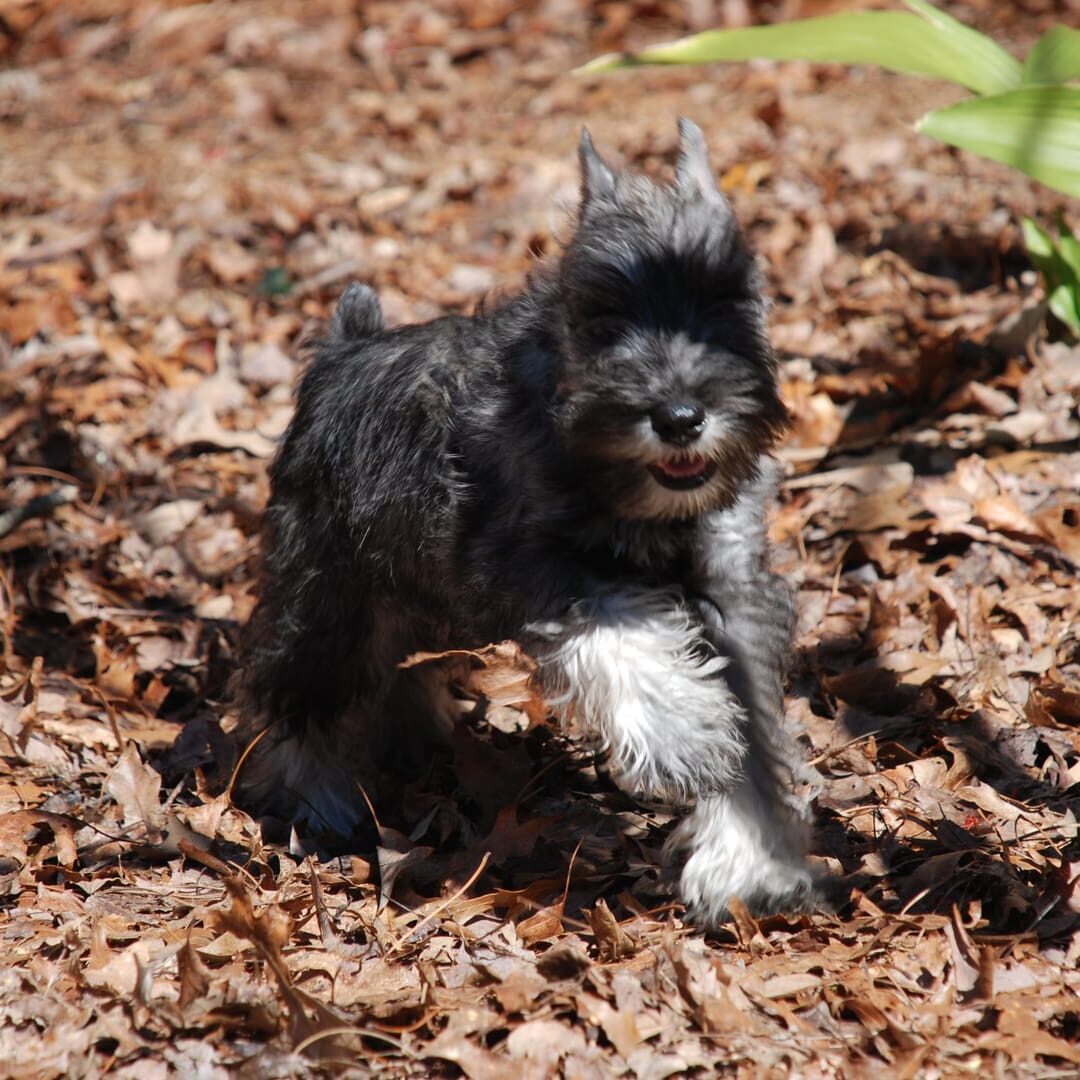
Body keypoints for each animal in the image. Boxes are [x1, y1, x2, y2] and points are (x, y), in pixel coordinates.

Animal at [234, 122, 816, 924]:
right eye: (604, 316)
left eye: (724, 302)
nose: (680, 418)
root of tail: (344, 346)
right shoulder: (542, 568)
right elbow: (628, 641)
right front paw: (685, 737)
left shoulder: (732, 592)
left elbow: (755, 732)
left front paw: (751, 859)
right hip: (326, 590)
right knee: (297, 690)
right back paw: (312, 796)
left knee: (397, 668)